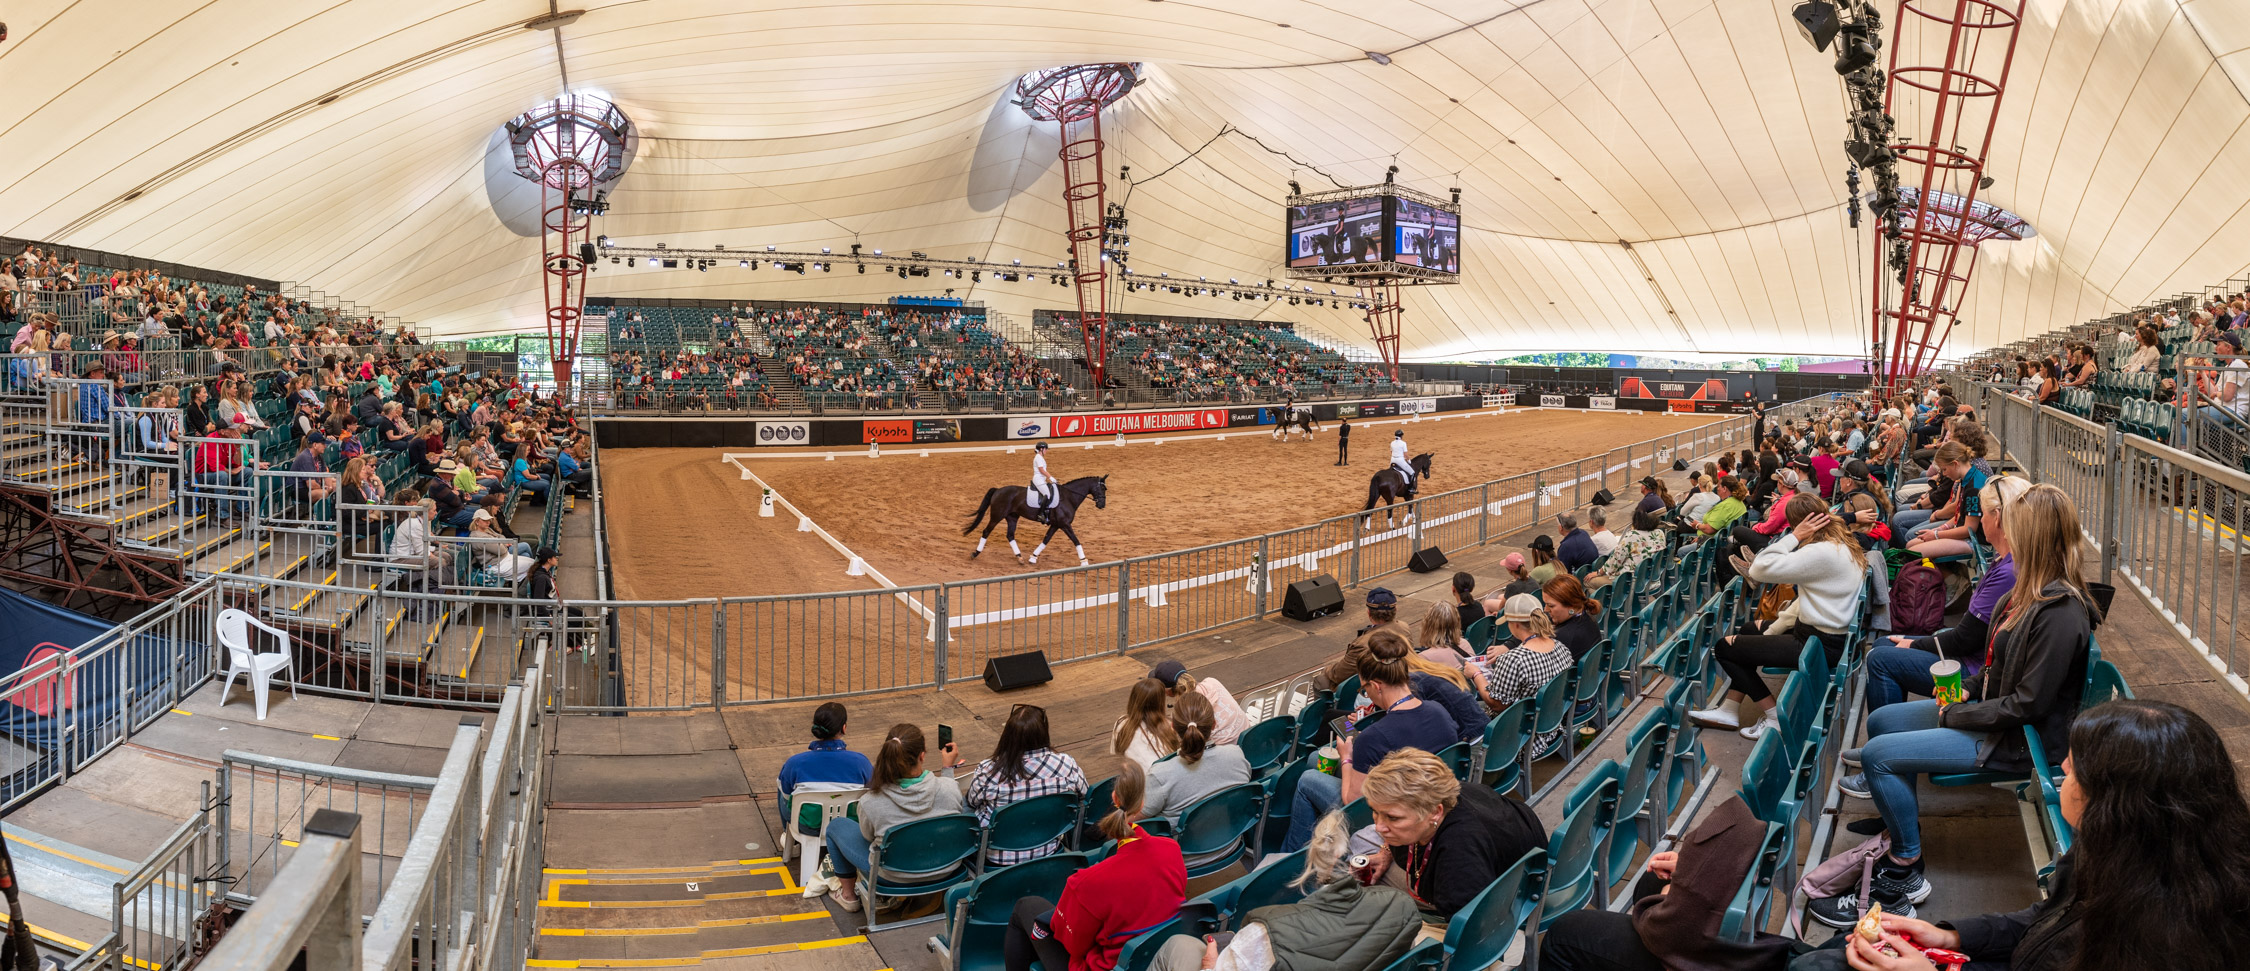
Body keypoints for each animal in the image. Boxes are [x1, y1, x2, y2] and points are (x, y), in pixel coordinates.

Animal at [963, 474, 1111, 564]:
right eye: (1102, 488)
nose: (1102, 505)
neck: (1068, 497)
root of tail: (998, 490)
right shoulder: (1065, 525)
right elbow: (1076, 540)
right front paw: (1084, 561)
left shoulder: (1056, 525)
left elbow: (1046, 540)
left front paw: (1033, 557)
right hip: (997, 516)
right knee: (986, 531)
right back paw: (975, 553)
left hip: (1012, 517)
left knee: (1010, 535)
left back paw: (1020, 558)